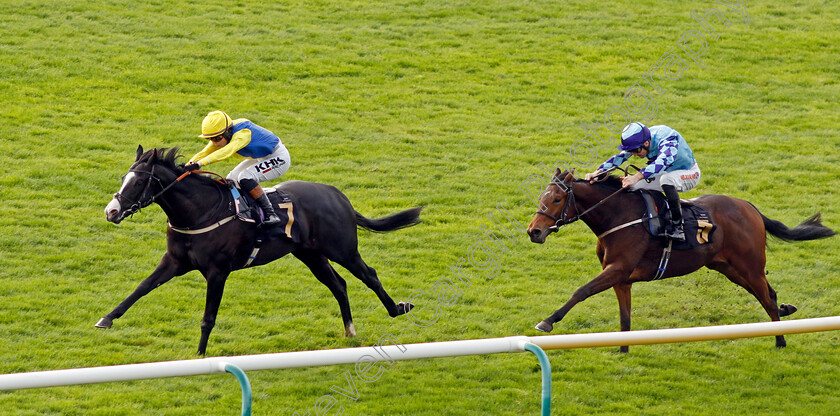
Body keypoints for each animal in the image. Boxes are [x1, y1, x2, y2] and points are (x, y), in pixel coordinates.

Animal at [99, 146, 424, 354]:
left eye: (140, 181)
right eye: (124, 178)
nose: (111, 212)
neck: (200, 211)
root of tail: (336, 194)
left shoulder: (217, 271)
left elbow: (208, 316)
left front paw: (200, 354)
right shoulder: (175, 261)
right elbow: (141, 288)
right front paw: (107, 319)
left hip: (342, 248)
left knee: (369, 275)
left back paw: (397, 308)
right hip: (310, 253)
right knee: (338, 284)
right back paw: (350, 330)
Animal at [524, 168, 832, 352]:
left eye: (556, 199)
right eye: (542, 196)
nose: (534, 232)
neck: (619, 216)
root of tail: (749, 207)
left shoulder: (618, 269)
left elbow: (581, 291)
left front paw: (547, 322)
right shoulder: (621, 278)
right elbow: (625, 317)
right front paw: (623, 350)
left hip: (750, 265)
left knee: (766, 298)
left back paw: (780, 339)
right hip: (730, 268)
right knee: (769, 294)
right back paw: (785, 311)